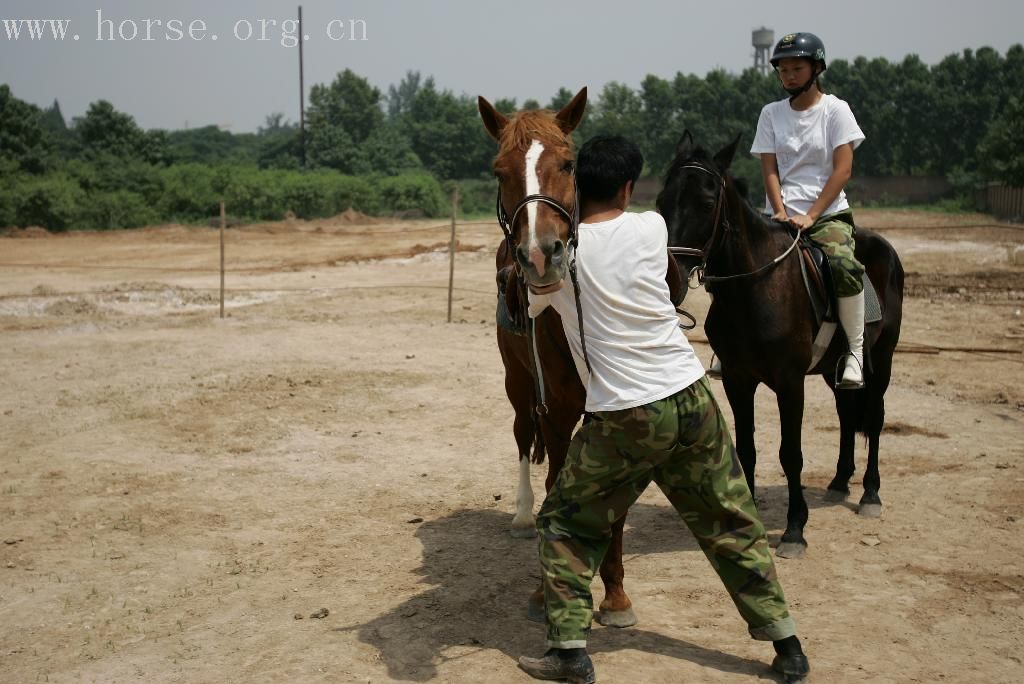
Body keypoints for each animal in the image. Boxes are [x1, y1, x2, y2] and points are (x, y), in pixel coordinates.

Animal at [473, 88, 634, 626]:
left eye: (567, 163)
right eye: (499, 171)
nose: (541, 254)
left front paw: (616, 593)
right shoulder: (558, 410)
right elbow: (556, 487)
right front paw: (548, 592)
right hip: (517, 383)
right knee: (524, 437)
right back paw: (523, 514)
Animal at [655, 131, 905, 557]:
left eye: (707, 203)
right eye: (660, 201)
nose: (670, 277)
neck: (754, 286)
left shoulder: (790, 383)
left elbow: (791, 453)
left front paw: (794, 529)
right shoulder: (738, 380)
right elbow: (747, 449)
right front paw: (748, 518)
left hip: (881, 359)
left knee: (873, 418)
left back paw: (870, 494)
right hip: (832, 368)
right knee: (845, 414)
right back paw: (840, 482)